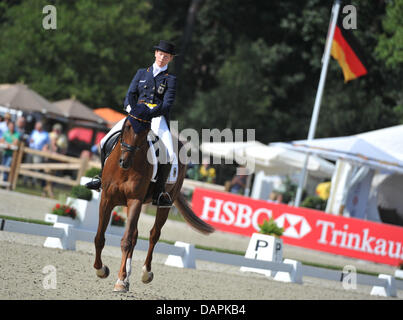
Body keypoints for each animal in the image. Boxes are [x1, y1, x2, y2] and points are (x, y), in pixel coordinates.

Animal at [94, 115, 215, 292]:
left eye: (145, 131)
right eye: (128, 126)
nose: (125, 161)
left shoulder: (135, 201)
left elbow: (126, 240)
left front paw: (120, 281)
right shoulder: (106, 199)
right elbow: (99, 238)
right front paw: (102, 270)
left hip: (165, 203)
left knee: (154, 235)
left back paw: (146, 273)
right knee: (135, 234)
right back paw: (128, 275)